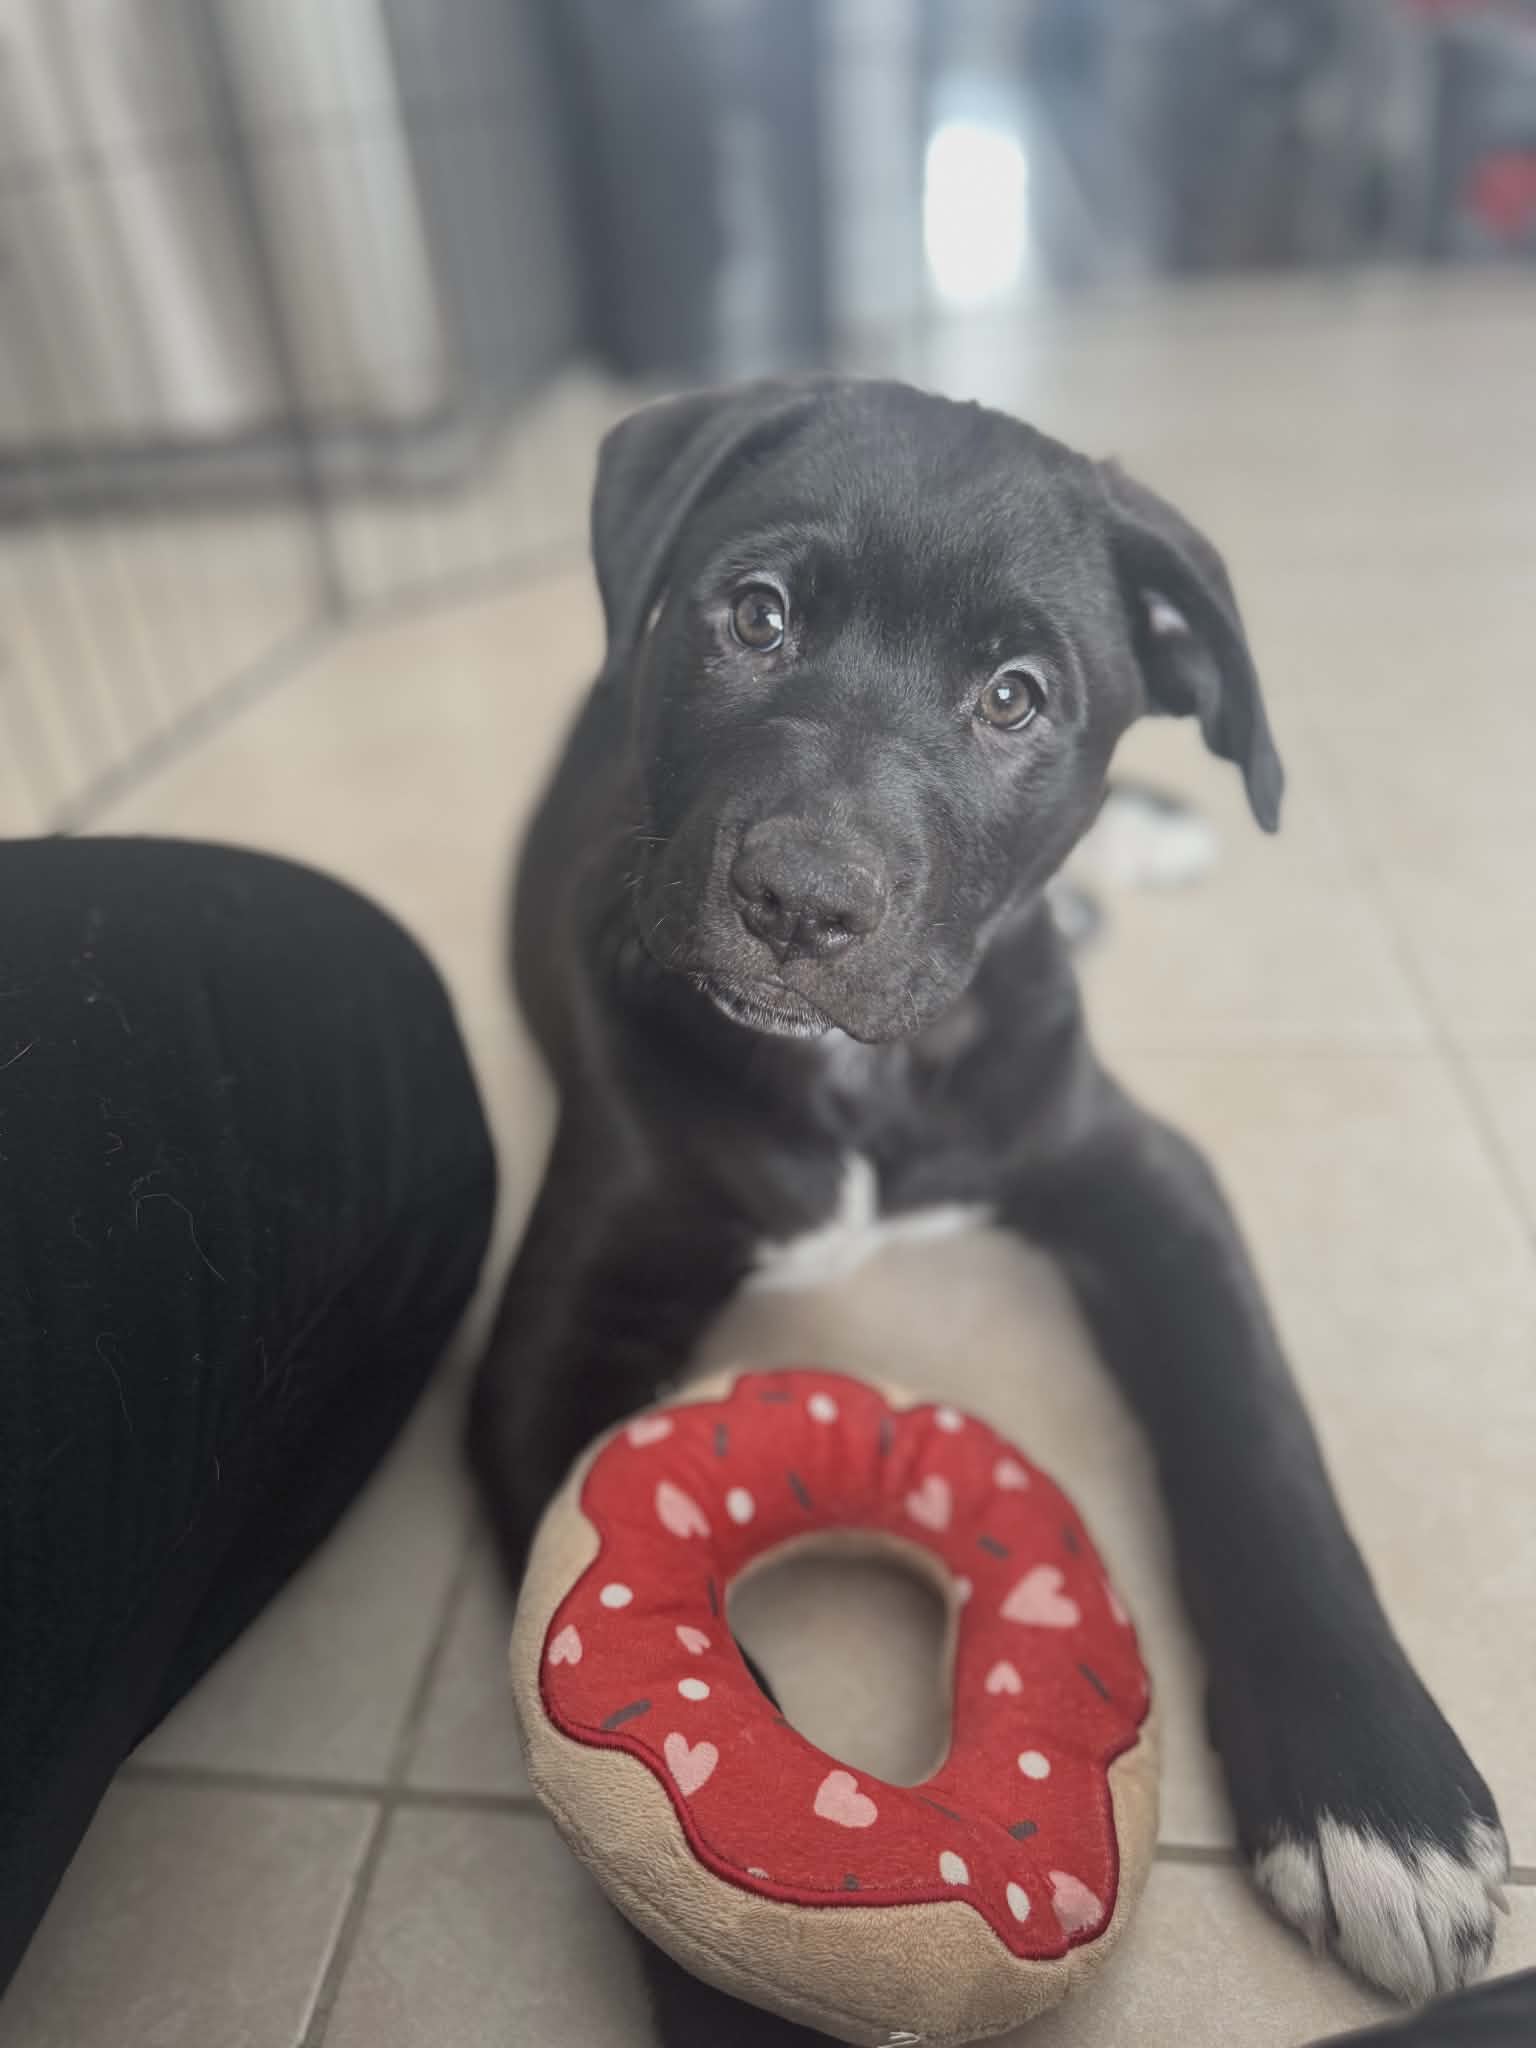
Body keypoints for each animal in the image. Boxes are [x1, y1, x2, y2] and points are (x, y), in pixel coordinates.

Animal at [470, 378, 1516, 2044]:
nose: (803, 902)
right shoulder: (557, 1339)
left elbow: (1263, 1438)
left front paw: (1379, 1798)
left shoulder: (1148, 1176)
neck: (867, 1083)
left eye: (1016, 697)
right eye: (754, 616)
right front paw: (737, 1987)